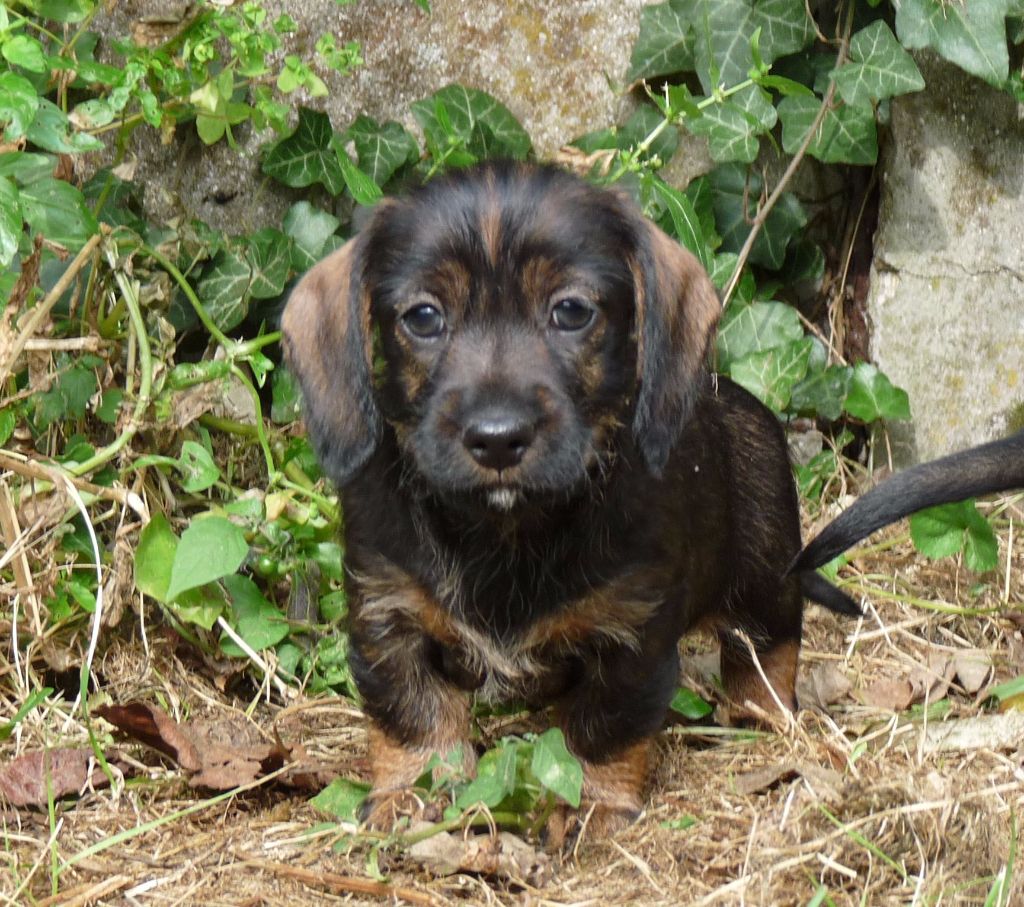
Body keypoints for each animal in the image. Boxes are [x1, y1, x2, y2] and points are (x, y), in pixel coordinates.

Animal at [280, 161, 1024, 839]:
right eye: (424, 316)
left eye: (571, 311)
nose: (497, 438)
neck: (508, 528)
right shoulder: (390, 619)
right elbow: (415, 714)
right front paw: (412, 793)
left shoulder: (629, 636)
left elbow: (600, 727)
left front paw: (591, 805)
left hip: (767, 575)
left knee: (768, 647)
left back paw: (761, 713)